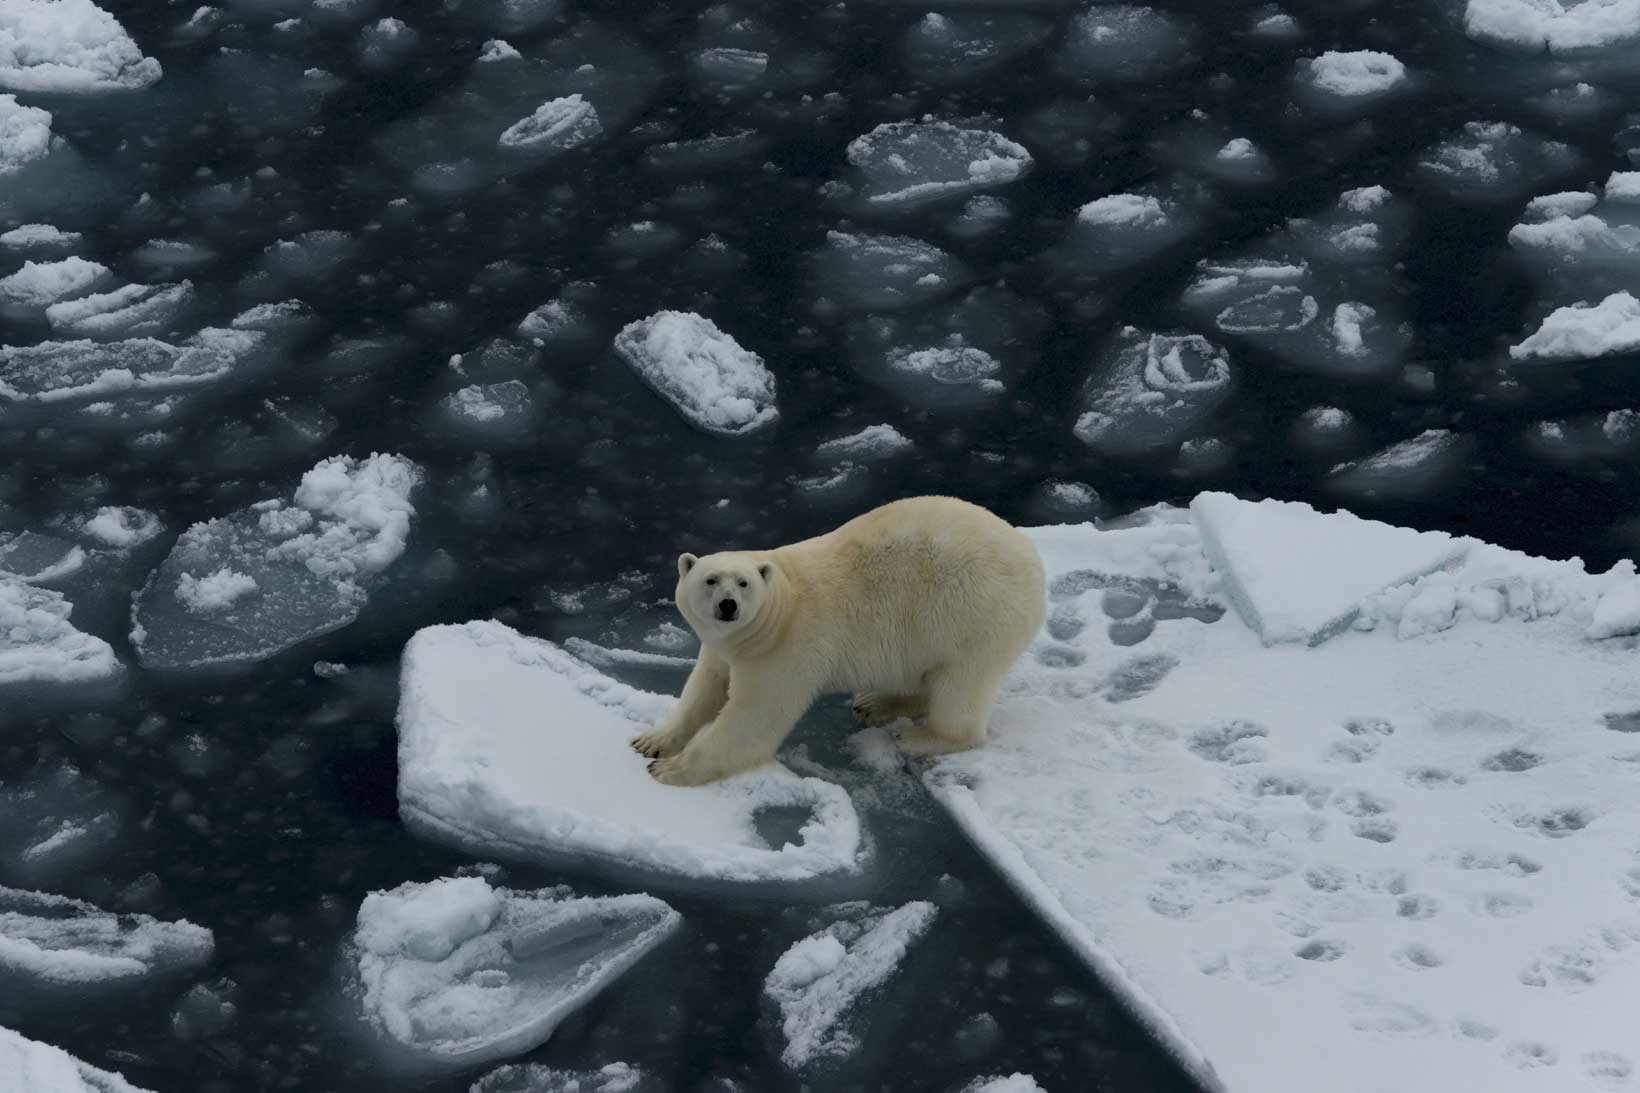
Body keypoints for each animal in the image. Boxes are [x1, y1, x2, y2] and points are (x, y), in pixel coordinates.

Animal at [633, 492, 1043, 784]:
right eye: (710, 580)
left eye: (744, 583)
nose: (728, 605)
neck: (781, 606)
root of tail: (1033, 562)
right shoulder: (723, 647)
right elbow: (704, 689)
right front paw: (651, 741)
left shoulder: (787, 648)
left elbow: (753, 717)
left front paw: (670, 769)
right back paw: (874, 703)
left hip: (973, 617)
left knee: (960, 687)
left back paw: (920, 737)